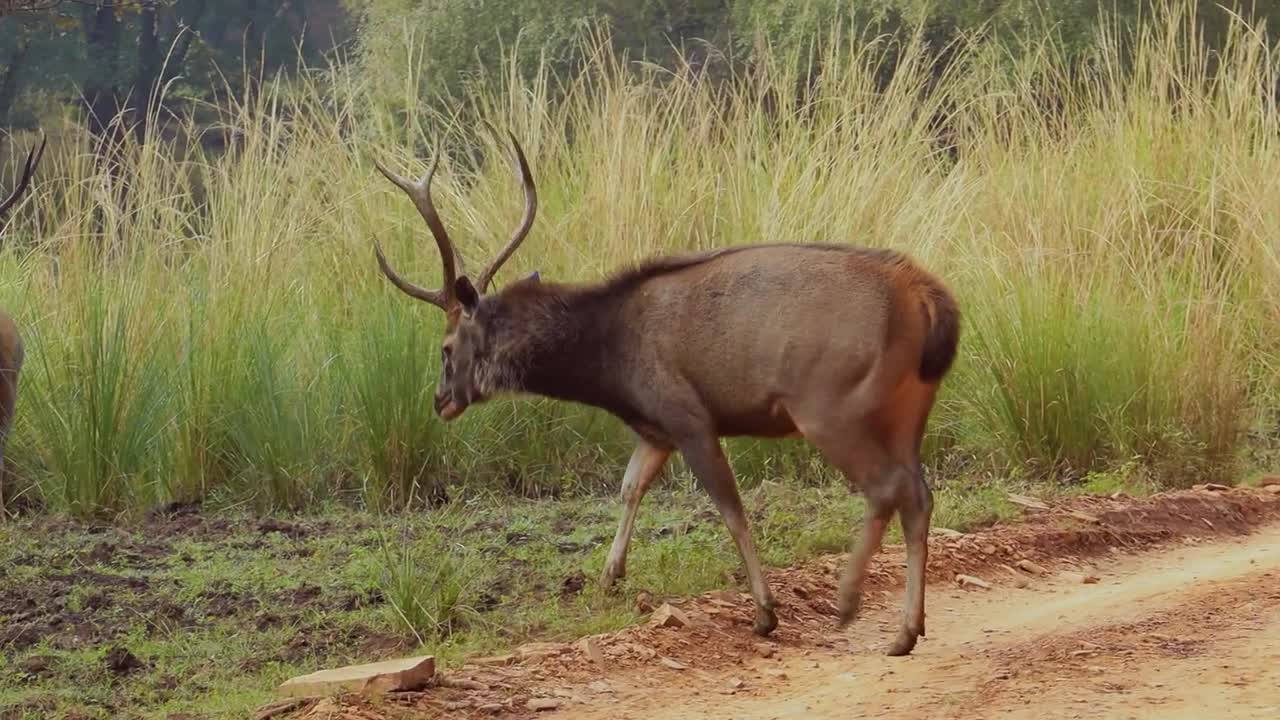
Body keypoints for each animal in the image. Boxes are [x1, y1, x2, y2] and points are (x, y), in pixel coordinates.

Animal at [371, 130, 962, 655]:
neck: (611, 365)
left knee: (886, 487)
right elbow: (630, 487)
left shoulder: (686, 414)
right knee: (918, 493)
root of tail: (928, 298)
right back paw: (906, 631)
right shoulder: (655, 428)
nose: (440, 401)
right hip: (909, 407)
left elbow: (730, 507)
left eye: (446, 347)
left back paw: (848, 602)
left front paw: (765, 613)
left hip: (829, 403)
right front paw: (608, 576)